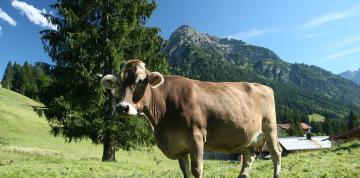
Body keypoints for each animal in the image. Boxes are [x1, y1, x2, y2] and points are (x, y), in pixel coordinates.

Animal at [100, 59, 282, 177]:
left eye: (140, 81)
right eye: (120, 83)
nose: (122, 107)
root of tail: (262, 86)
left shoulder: (196, 137)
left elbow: (197, 170)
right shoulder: (180, 146)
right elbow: (186, 172)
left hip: (270, 128)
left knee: (276, 154)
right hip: (249, 137)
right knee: (248, 159)